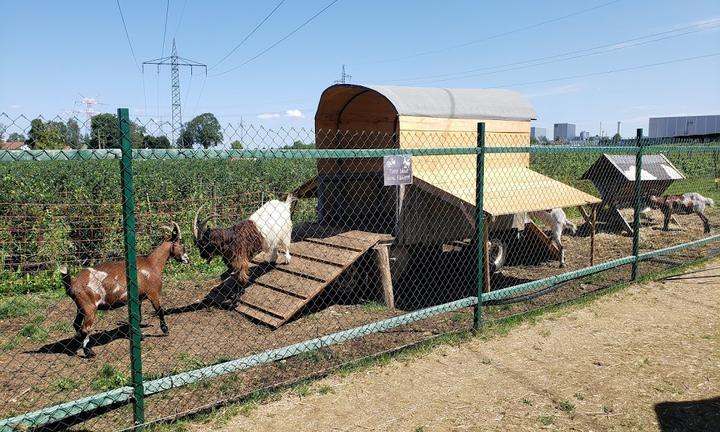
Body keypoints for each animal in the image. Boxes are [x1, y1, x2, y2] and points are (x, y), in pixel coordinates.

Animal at [59, 223, 188, 358]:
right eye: (181, 244)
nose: (187, 259)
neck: (152, 263)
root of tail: (73, 282)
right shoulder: (153, 294)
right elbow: (160, 311)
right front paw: (165, 330)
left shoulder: (138, 299)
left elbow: (138, 318)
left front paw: (140, 336)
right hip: (89, 307)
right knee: (85, 329)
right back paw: (89, 352)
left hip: (81, 307)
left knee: (76, 325)